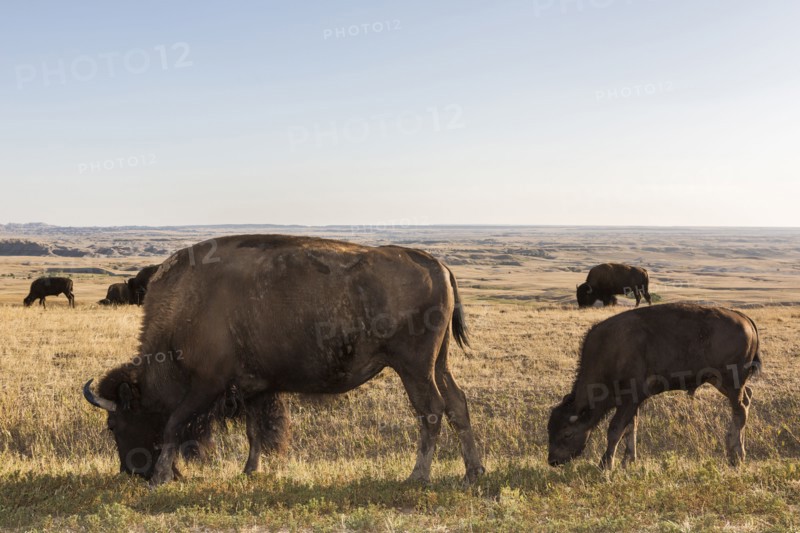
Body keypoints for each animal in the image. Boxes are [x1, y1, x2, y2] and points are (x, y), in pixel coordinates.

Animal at [83, 235, 484, 486]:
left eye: (114, 425)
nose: (131, 472)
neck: (186, 306)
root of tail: (437, 264)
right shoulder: (253, 388)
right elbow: (255, 431)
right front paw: (249, 471)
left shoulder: (206, 386)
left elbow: (173, 425)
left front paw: (162, 477)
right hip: (438, 364)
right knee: (457, 404)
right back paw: (472, 473)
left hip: (413, 367)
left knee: (431, 410)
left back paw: (418, 476)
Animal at [548, 303, 761, 469]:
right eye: (550, 429)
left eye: (567, 433)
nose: (553, 460)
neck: (611, 353)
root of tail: (744, 318)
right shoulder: (632, 403)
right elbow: (630, 429)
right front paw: (628, 461)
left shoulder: (629, 399)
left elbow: (615, 430)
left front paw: (605, 465)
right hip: (719, 381)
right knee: (746, 399)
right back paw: (733, 453)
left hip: (731, 381)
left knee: (739, 411)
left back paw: (736, 456)